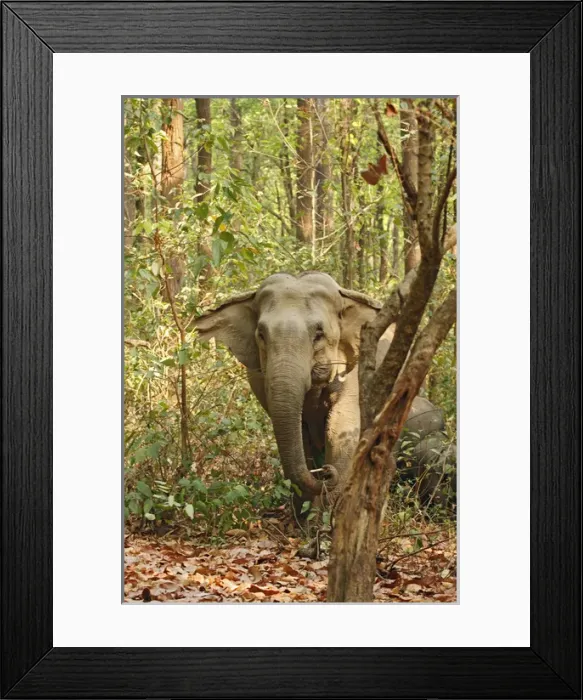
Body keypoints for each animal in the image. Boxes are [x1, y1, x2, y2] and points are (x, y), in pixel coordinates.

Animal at [194, 271, 455, 510]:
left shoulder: (354, 368)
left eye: (318, 334)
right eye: (261, 334)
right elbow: (300, 432)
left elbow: (338, 427)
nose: (326, 472)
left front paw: (326, 514)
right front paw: (304, 516)